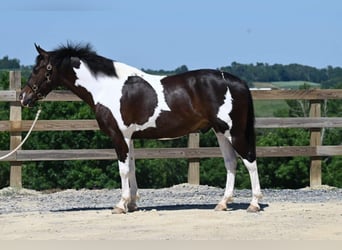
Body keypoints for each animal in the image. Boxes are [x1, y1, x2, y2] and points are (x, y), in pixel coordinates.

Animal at [19, 43, 262, 213]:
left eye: (39, 68)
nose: (23, 97)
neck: (106, 88)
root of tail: (237, 82)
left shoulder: (119, 137)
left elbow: (123, 170)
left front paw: (121, 205)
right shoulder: (129, 138)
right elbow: (132, 168)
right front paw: (133, 204)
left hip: (234, 132)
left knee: (249, 161)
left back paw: (254, 204)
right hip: (220, 132)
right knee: (231, 163)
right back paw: (223, 203)